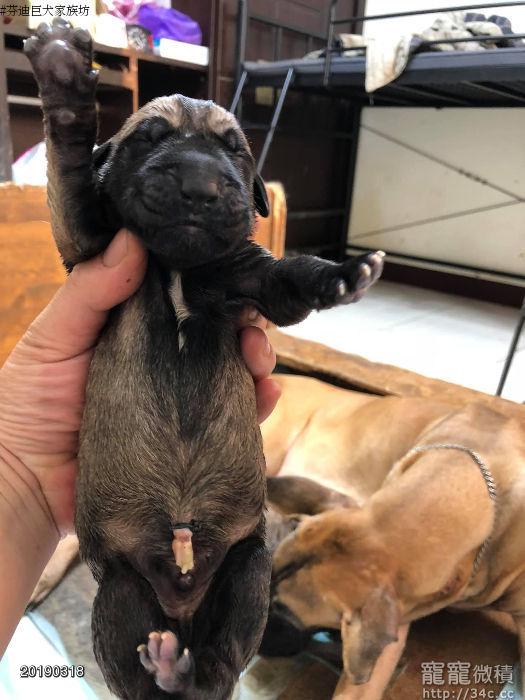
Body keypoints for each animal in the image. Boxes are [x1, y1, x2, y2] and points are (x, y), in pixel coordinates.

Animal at [24, 18, 383, 699]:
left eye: (236, 150)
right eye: (148, 138)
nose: (201, 187)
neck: (179, 267)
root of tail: (183, 609)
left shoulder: (248, 278)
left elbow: (289, 280)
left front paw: (341, 275)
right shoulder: (90, 248)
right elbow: (72, 181)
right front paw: (62, 80)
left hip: (249, 568)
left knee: (225, 656)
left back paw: (189, 666)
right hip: (119, 589)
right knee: (136, 669)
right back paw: (164, 666)